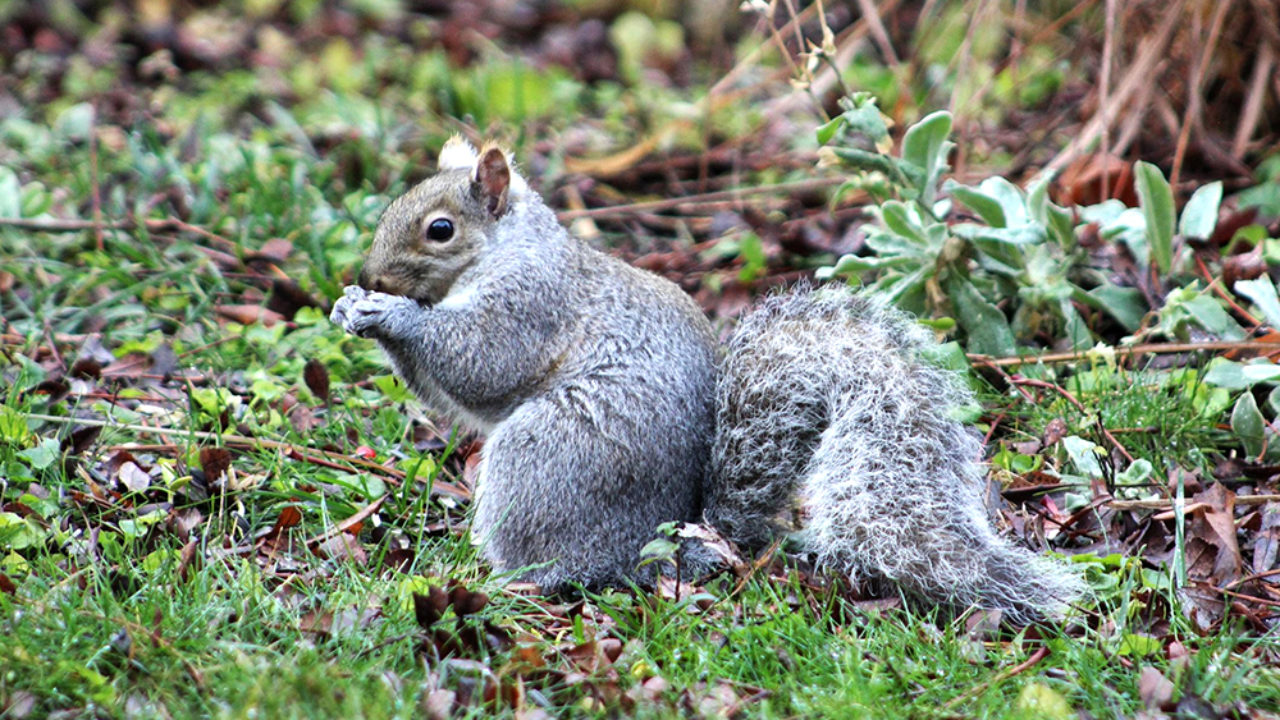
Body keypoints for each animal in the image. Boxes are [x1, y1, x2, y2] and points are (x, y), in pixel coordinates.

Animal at [330, 137, 1080, 620]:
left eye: (440, 229)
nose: (370, 275)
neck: (508, 249)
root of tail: (665, 545)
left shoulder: (531, 305)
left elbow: (480, 363)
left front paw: (388, 313)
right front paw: (349, 306)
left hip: (552, 457)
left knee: (563, 567)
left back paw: (514, 580)